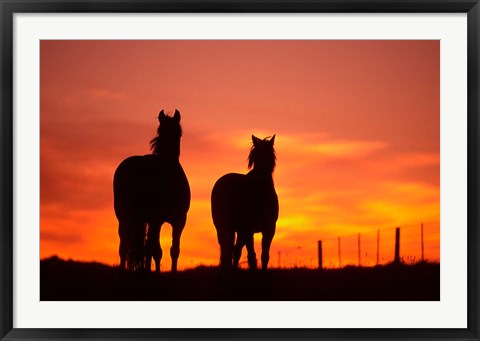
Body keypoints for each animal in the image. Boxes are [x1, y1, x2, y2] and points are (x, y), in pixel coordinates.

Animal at [113, 110, 190, 272]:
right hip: (124, 217)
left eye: (178, 133)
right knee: (124, 247)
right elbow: (156, 251)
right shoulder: (156, 220)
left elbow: (174, 250)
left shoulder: (179, 220)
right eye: (161, 131)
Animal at [210, 134, 278, 270]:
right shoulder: (249, 229)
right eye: (255, 156)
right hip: (226, 228)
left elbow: (264, 256)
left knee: (233, 251)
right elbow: (252, 256)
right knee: (229, 251)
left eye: (270, 154)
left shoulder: (268, 229)